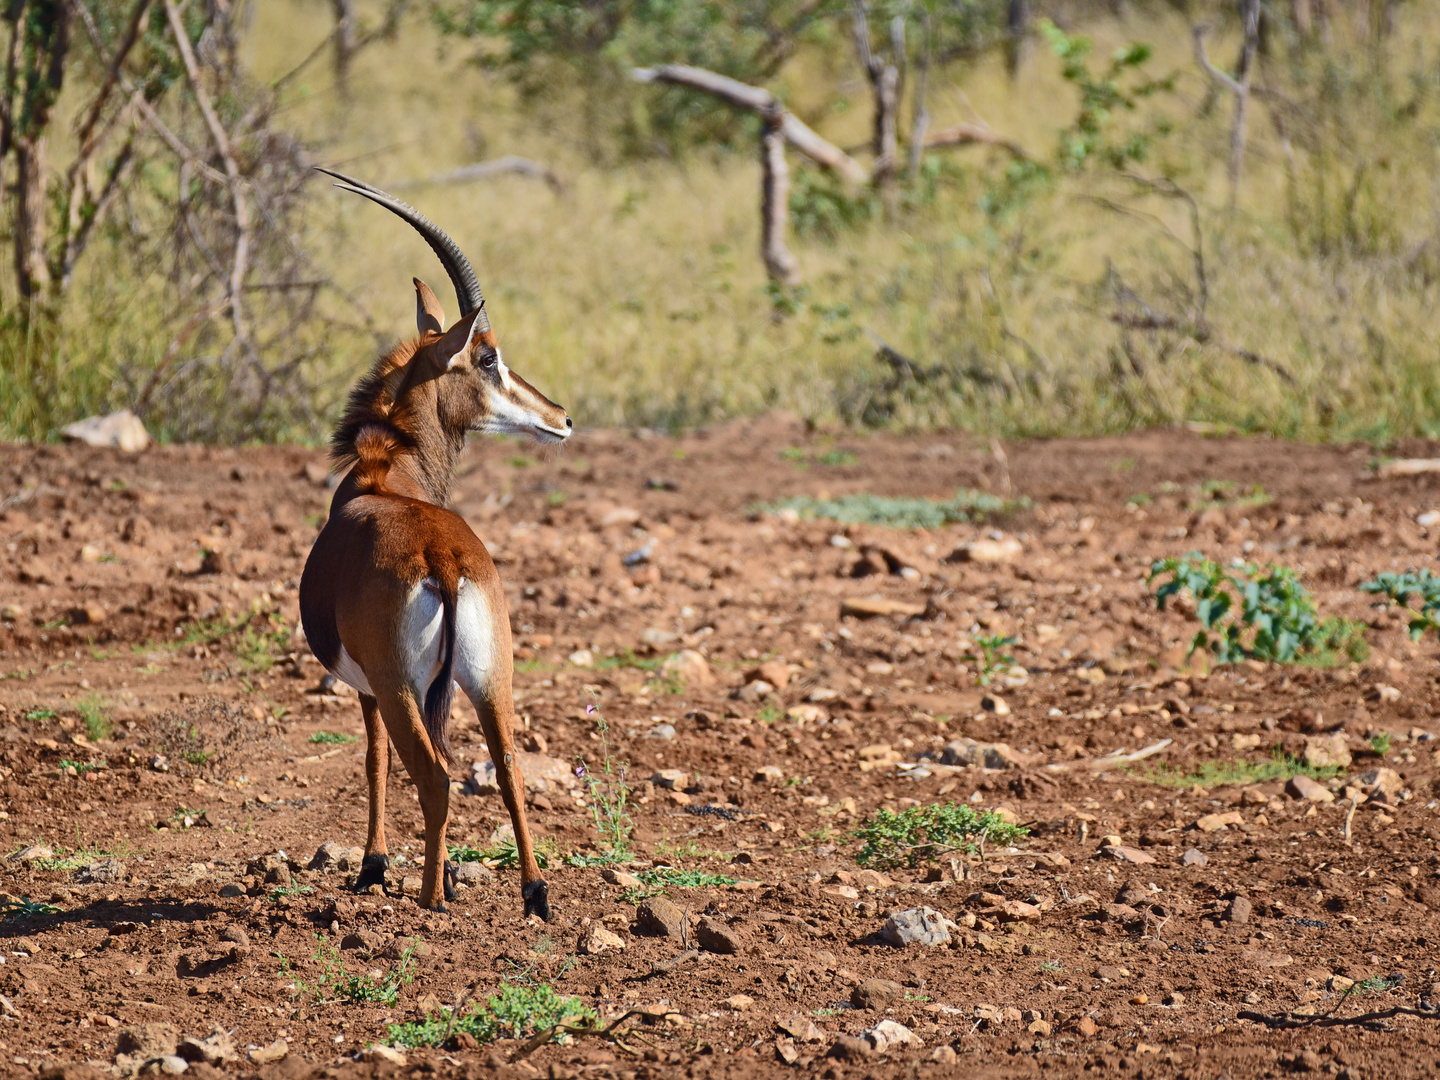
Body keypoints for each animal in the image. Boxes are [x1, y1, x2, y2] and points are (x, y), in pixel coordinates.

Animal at [299, 169, 567, 921]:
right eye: (489, 355)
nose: (562, 417)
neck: (386, 477)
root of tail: (444, 562)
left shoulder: (368, 688)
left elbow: (373, 760)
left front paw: (373, 867)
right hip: (492, 680)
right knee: (506, 767)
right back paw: (533, 892)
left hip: (397, 688)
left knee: (435, 772)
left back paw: (427, 900)